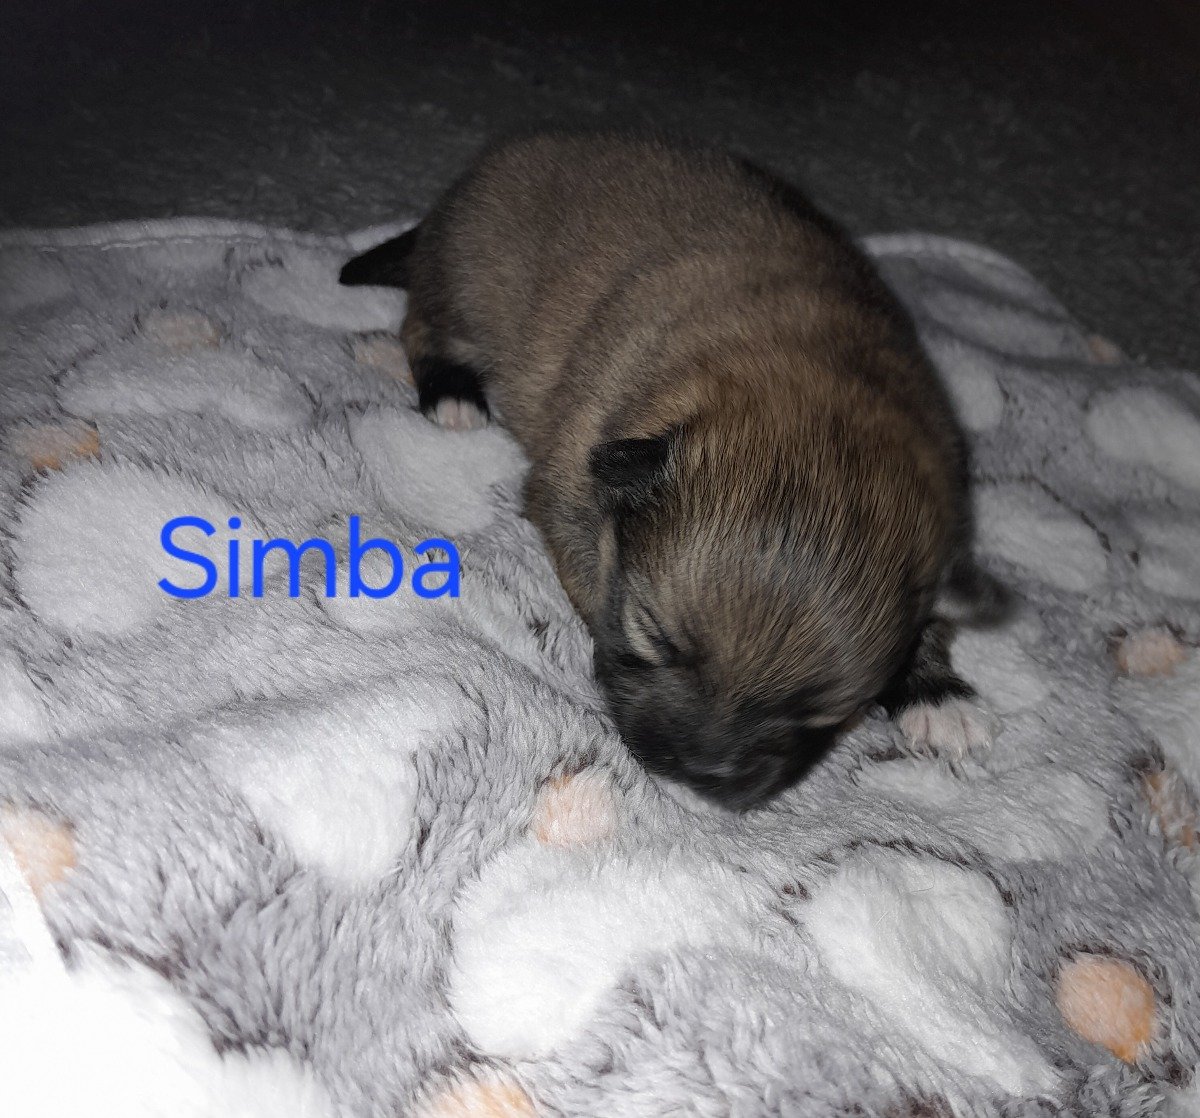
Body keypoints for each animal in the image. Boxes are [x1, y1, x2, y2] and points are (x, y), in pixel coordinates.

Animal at [340, 131, 1005, 809]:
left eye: (821, 711)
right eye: (655, 637)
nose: (700, 774)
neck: (827, 390)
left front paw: (937, 696)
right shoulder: (573, 485)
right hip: (469, 281)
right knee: (421, 324)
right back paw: (452, 397)